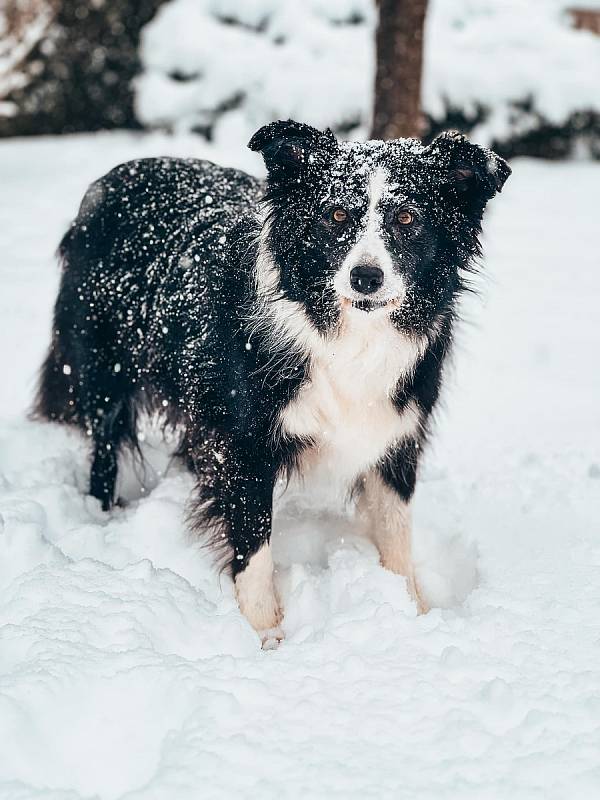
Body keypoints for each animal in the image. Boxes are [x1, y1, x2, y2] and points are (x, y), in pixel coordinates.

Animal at [34, 119, 510, 636]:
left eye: (406, 218)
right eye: (336, 215)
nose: (366, 277)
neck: (346, 337)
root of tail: (114, 177)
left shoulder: (397, 433)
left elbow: (396, 534)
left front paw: (412, 612)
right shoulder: (245, 444)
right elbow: (253, 545)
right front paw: (264, 633)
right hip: (103, 369)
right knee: (103, 446)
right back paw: (98, 514)